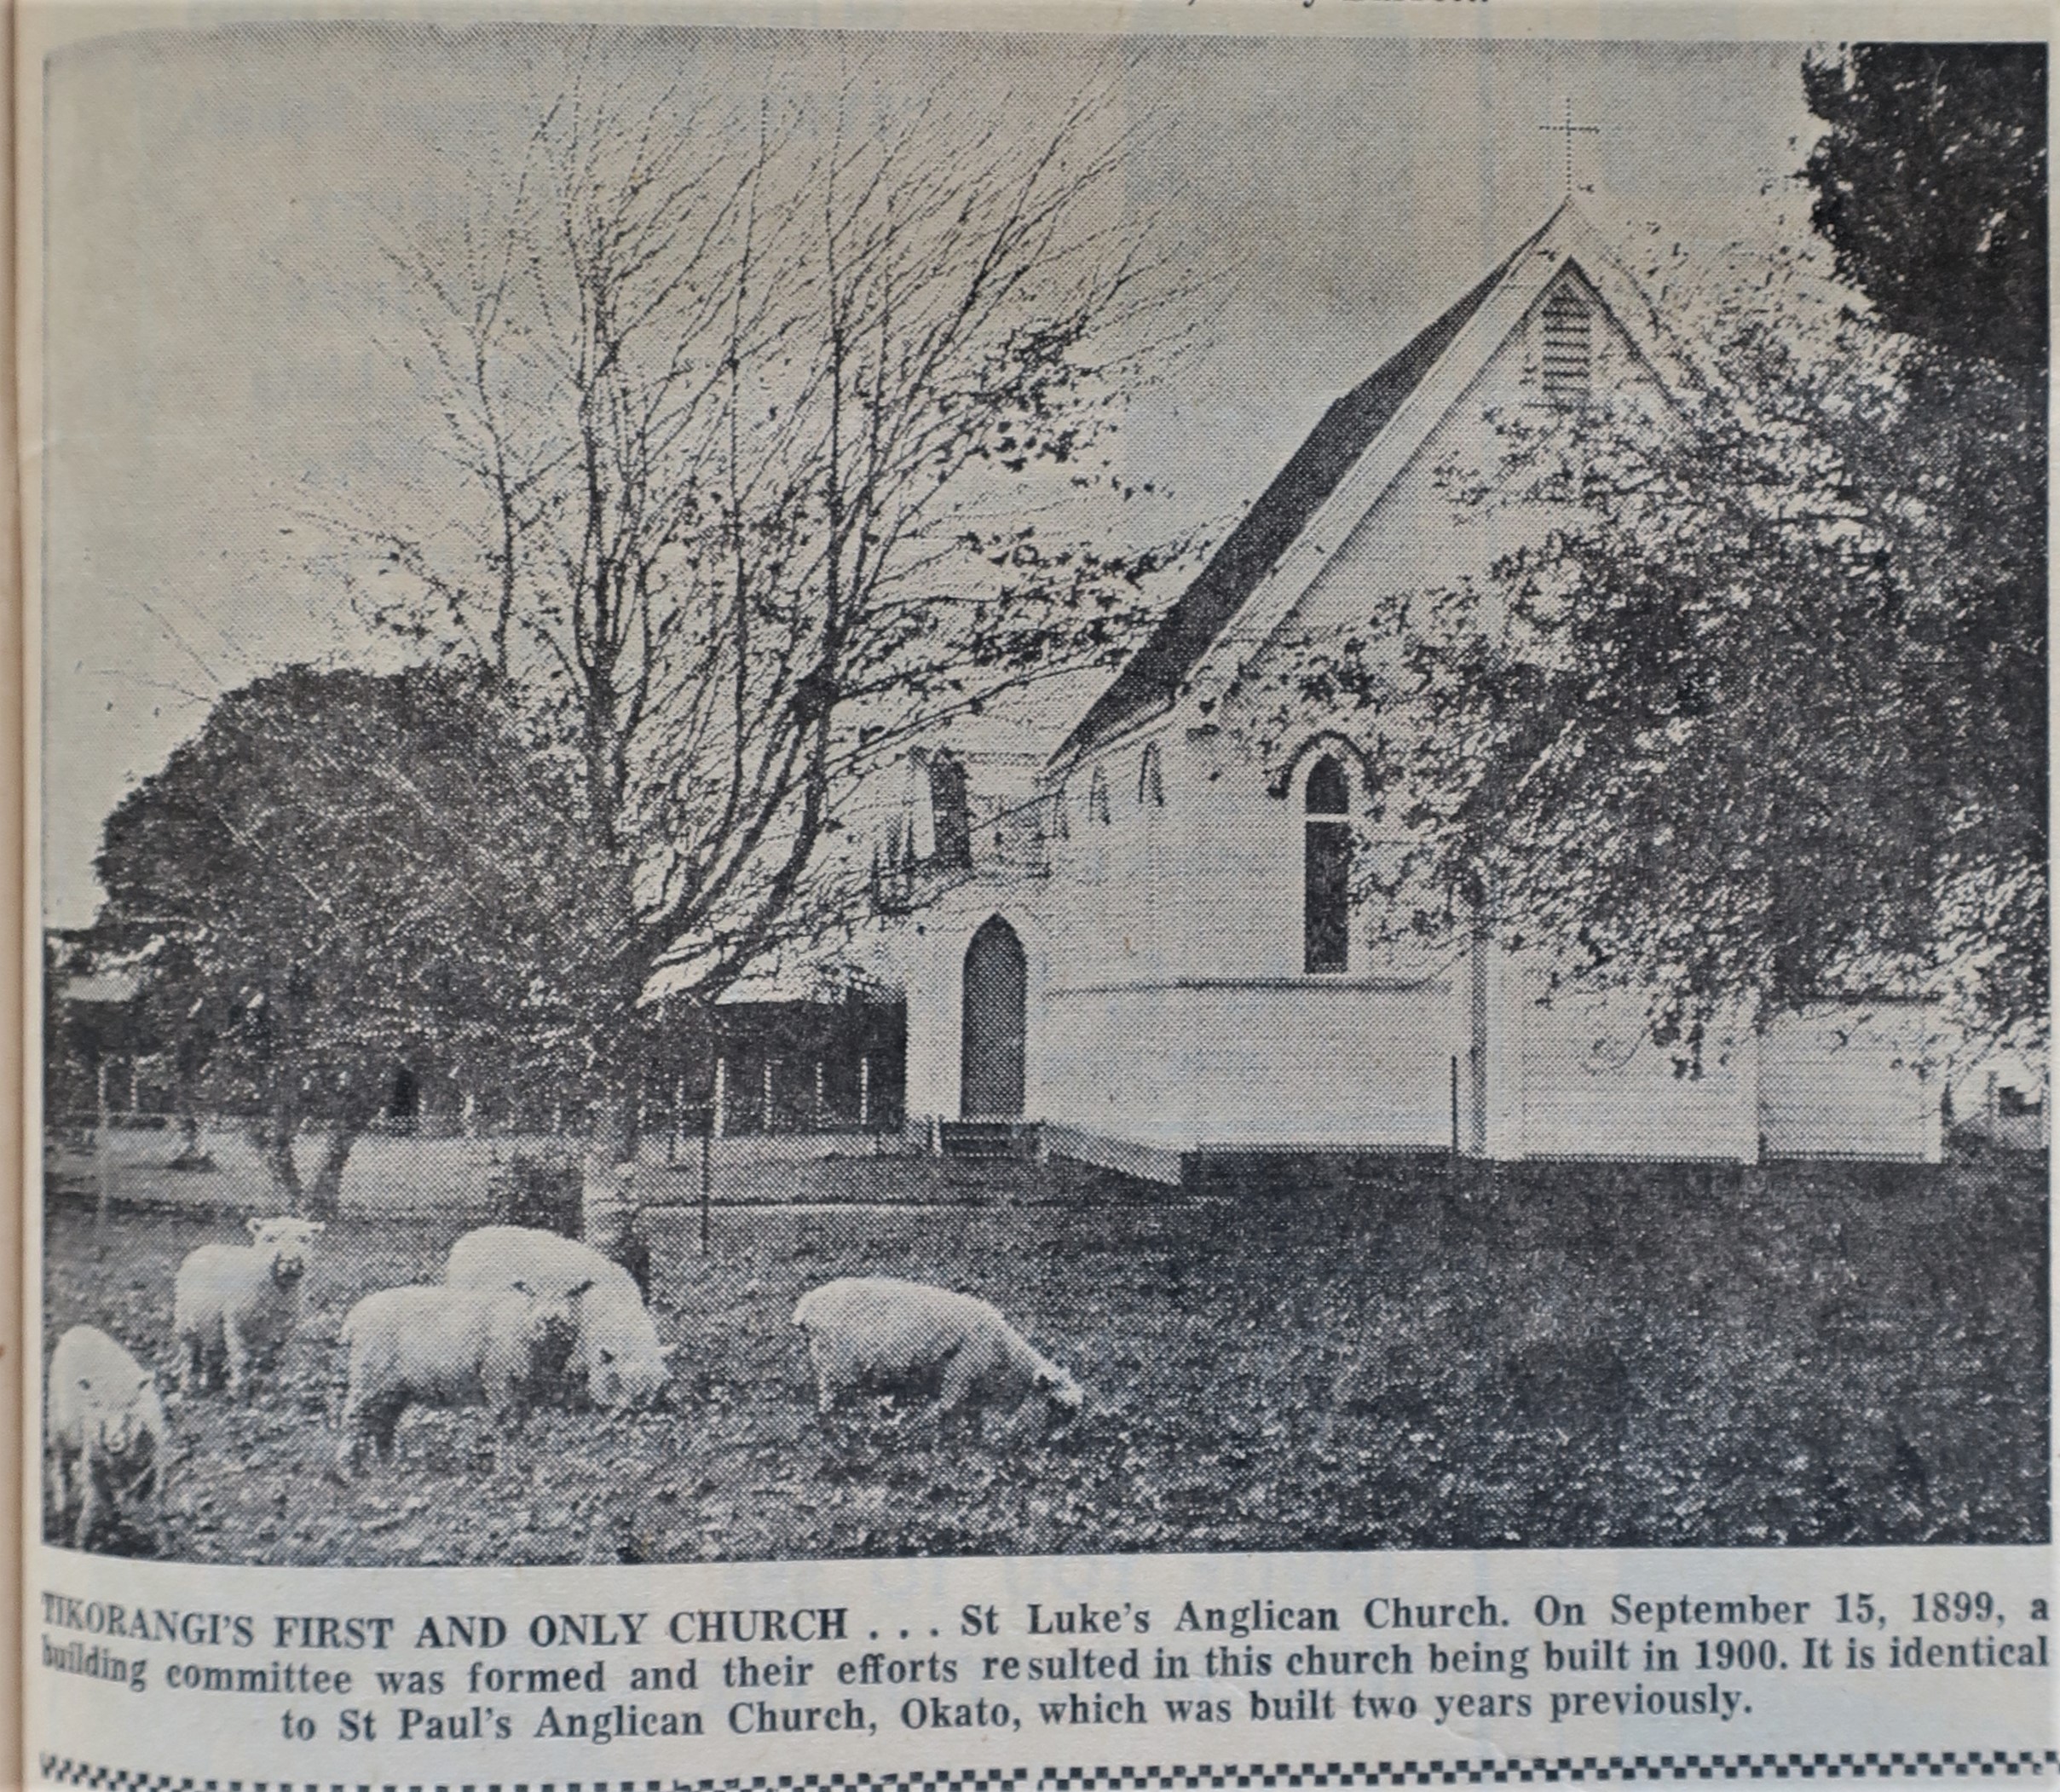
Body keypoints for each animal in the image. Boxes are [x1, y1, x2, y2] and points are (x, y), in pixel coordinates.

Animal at [46, 1326, 166, 1548]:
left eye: (131, 1404)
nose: (114, 1441)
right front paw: (82, 1539)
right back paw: (61, 1512)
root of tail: (78, 1329)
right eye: (96, 1404)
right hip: (57, 1433)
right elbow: (94, 1503)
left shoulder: (157, 1459)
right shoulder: (93, 1465)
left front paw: (162, 1542)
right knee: (60, 1471)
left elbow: (156, 1495)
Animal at [173, 1219, 325, 1400]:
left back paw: (214, 1387)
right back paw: (188, 1389)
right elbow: (241, 1359)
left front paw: (268, 1393)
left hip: (214, 1324)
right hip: (186, 1321)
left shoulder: (280, 1332)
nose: (291, 1262)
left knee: (213, 1352)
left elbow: (270, 1362)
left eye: (304, 1239)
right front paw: (239, 1394)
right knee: (188, 1354)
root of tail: (203, 1248)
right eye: (270, 1238)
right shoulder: (235, 1324)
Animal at [329, 1285, 589, 1483]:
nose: (551, 1319)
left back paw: (389, 1468)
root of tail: (354, 1316)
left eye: (573, 1293)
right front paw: (507, 1474)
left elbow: (520, 1428)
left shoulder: (524, 1393)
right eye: (533, 1295)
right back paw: (350, 1473)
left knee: (383, 1423)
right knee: (354, 1419)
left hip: (392, 1388)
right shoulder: (500, 1384)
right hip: (370, 1376)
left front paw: (523, 1468)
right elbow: (508, 1428)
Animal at [787, 1276, 1088, 1442]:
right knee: (830, 1393)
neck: (1004, 1345)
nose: (1064, 1440)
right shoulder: (964, 1365)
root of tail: (806, 1308)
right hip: (838, 1356)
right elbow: (948, 1401)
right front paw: (928, 1426)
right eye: (1059, 1406)